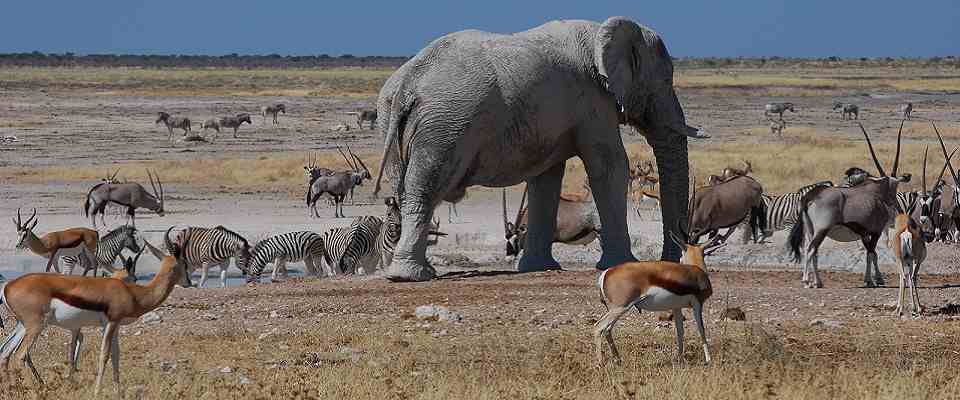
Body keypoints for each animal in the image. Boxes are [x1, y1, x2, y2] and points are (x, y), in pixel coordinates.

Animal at [372, 16, 707, 282]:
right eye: (665, 81)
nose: (670, 261)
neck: (600, 32)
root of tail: (407, 83)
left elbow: (546, 180)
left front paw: (539, 267)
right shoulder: (593, 102)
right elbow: (610, 166)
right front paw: (622, 264)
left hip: (392, 120)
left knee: (404, 192)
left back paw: (408, 272)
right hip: (442, 128)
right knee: (424, 191)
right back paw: (411, 276)